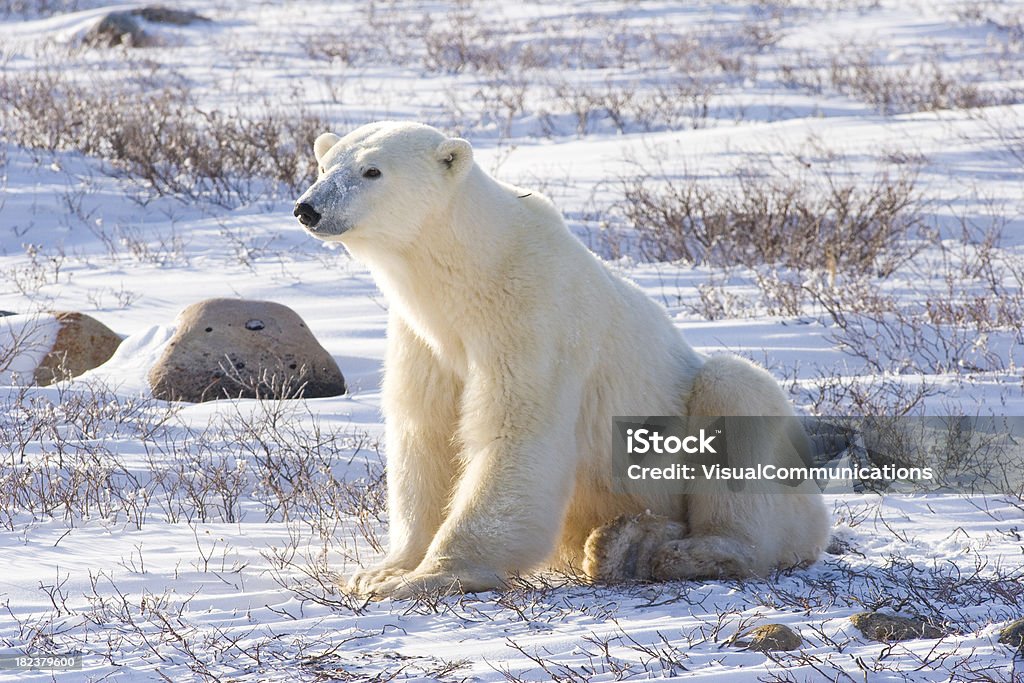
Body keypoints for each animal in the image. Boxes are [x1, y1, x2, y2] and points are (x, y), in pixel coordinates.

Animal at [292, 122, 827, 598]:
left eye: (372, 170)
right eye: (324, 164)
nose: (307, 208)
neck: (473, 272)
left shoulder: (532, 317)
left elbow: (515, 432)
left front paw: (433, 575)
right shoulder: (425, 340)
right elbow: (425, 435)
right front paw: (382, 570)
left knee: (734, 395)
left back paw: (678, 552)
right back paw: (623, 542)